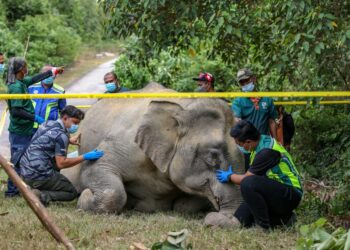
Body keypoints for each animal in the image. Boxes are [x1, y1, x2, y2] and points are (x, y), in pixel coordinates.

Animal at [66, 83, 246, 228]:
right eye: (213, 155)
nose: (216, 219)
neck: (184, 107)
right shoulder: (126, 143)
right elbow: (94, 168)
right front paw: (84, 197)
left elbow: (184, 206)